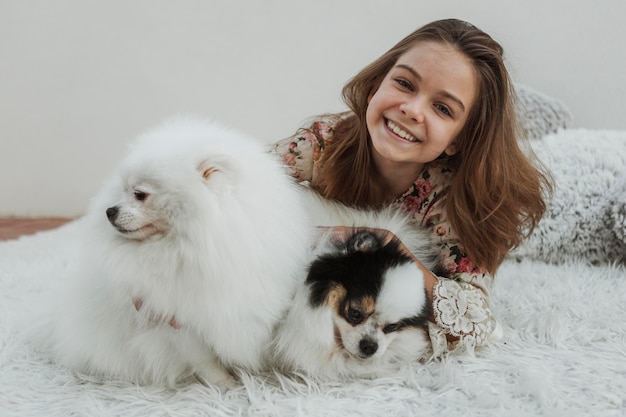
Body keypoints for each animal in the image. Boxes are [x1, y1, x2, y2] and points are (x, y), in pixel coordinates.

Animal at [28, 116, 312, 384]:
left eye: (139, 194)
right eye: (122, 190)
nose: (109, 210)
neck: (185, 248)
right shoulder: (175, 321)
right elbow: (204, 358)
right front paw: (223, 384)